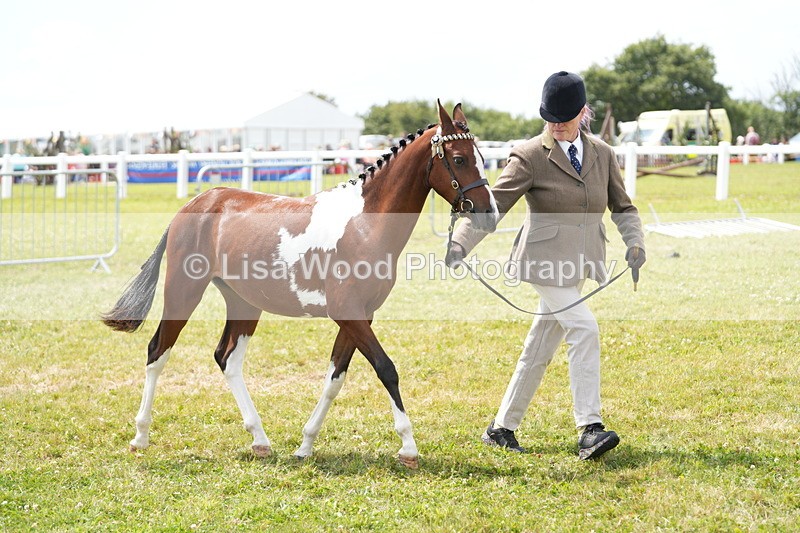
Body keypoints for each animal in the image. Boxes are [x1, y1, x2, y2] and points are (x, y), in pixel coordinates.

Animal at [102, 101, 499, 469]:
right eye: (460, 159)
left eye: (483, 157)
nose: (489, 213)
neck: (364, 224)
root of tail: (193, 204)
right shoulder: (348, 313)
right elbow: (386, 368)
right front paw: (409, 448)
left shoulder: (360, 316)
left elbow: (335, 378)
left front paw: (305, 445)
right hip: (183, 292)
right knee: (158, 351)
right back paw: (140, 436)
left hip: (244, 304)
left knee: (227, 358)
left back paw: (260, 440)